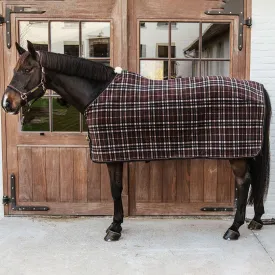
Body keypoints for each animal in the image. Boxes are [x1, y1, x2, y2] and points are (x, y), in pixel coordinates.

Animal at [1, 40, 272, 242]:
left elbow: (115, 190)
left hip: (237, 153)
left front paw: (114, 228)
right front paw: (116, 224)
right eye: (14, 69)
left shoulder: (112, 156)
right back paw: (256, 220)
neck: (98, 93)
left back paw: (234, 228)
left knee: (244, 182)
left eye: (27, 70)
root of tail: (258, 87)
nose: (7, 103)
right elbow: (117, 189)